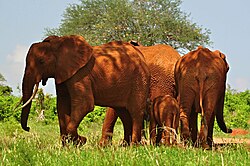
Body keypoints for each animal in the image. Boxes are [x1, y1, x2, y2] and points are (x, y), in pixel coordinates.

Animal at [20, 35, 149, 145]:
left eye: (41, 62)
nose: (28, 128)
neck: (60, 44)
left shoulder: (80, 74)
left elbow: (84, 104)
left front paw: (81, 141)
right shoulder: (62, 74)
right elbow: (62, 106)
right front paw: (68, 147)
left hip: (139, 80)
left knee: (135, 113)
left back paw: (133, 147)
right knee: (123, 113)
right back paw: (126, 147)